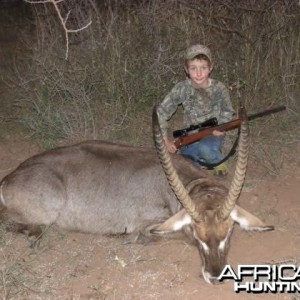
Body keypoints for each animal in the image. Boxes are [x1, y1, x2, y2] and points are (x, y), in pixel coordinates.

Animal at [0, 106, 274, 284]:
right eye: (197, 234)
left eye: (229, 230)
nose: (215, 276)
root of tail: (7, 180)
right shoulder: (148, 224)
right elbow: (162, 235)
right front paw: (132, 239)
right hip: (48, 208)